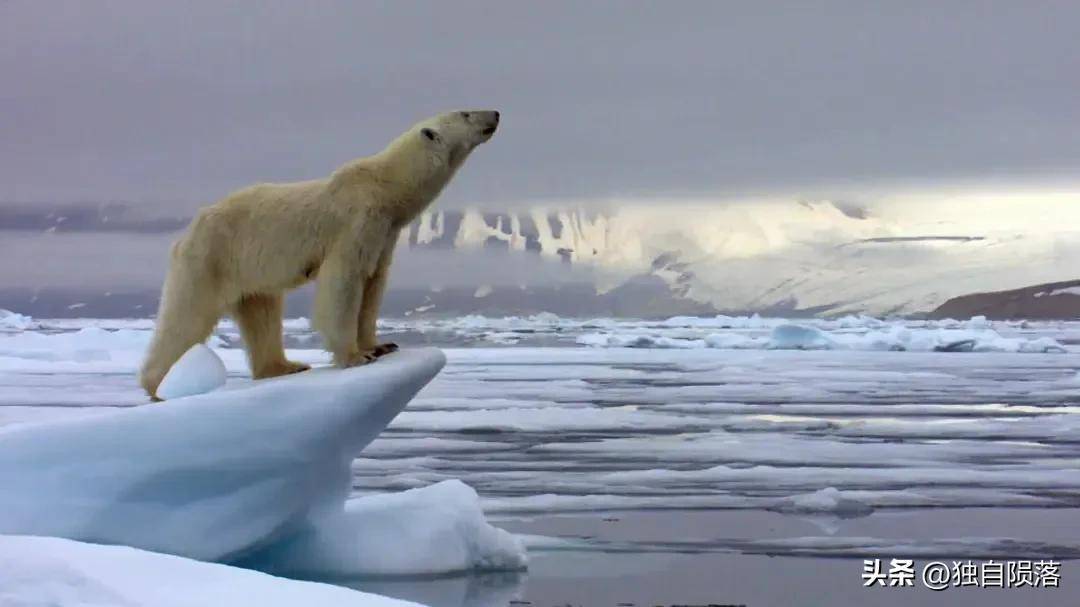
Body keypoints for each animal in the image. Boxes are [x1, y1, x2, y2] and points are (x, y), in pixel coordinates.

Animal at [138, 110, 501, 399]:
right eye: (466, 113)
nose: (495, 113)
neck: (385, 188)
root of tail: (186, 233)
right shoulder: (356, 223)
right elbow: (344, 283)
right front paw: (354, 356)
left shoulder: (384, 234)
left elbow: (373, 284)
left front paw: (380, 345)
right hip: (211, 257)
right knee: (187, 316)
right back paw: (160, 384)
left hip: (250, 270)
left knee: (262, 312)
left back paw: (285, 366)